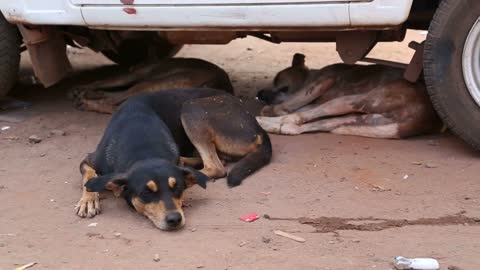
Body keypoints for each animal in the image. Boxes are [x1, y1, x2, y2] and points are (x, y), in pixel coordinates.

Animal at [75, 88, 270, 230]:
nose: (174, 219)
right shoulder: (89, 160)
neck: (143, 148)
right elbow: (89, 176)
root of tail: (258, 127)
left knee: (216, 166)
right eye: (146, 193)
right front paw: (89, 200)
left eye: (178, 188)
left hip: (192, 108)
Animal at [255, 54, 442, 139]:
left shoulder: (320, 83)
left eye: (277, 80)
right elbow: (295, 108)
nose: (260, 93)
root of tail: (426, 117)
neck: (310, 76)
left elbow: (289, 106)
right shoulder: (314, 100)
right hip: (358, 118)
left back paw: (262, 121)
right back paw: (270, 125)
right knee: (297, 127)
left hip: (348, 102)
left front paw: (271, 110)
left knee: (297, 118)